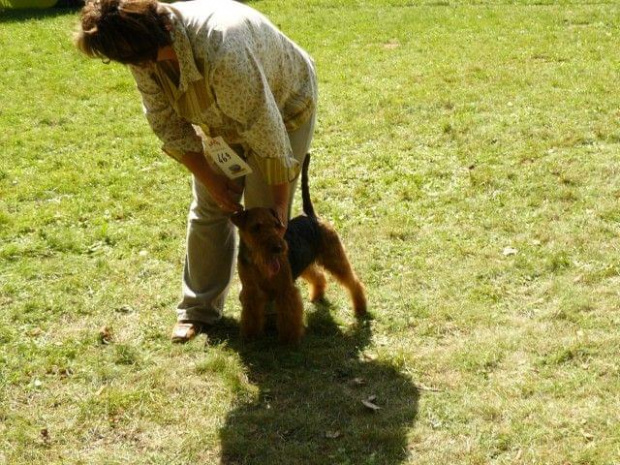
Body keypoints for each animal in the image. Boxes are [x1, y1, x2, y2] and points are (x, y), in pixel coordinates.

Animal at [231, 154, 367, 344]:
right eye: (256, 227)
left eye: (276, 224)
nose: (279, 248)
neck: (259, 262)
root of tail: (312, 216)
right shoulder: (252, 292)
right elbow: (250, 316)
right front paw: (250, 336)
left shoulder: (285, 290)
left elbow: (289, 316)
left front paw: (290, 340)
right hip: (305, 263)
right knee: (319, 276)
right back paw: (317, 295)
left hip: (335, 258)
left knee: (353, 282)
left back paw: (361, 308)